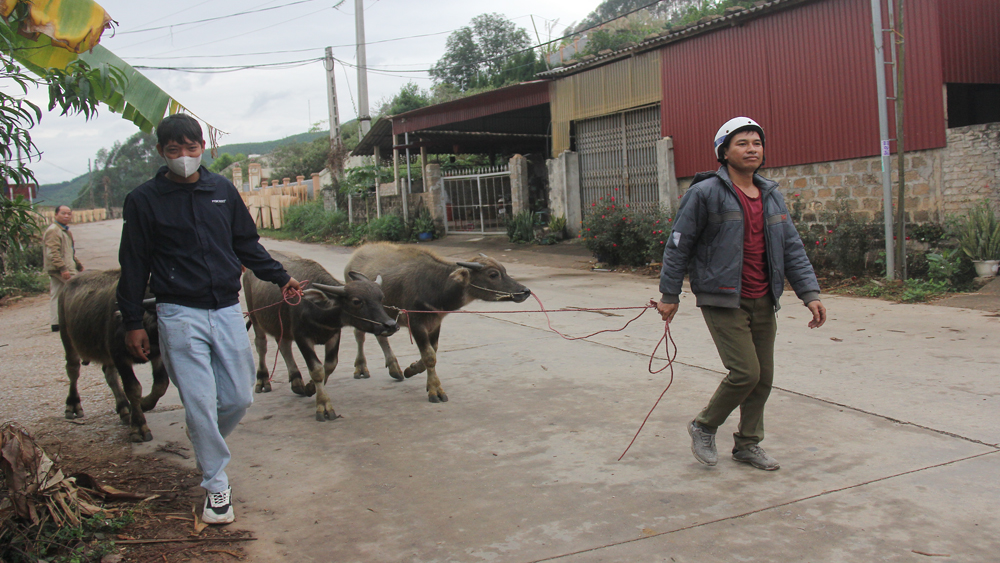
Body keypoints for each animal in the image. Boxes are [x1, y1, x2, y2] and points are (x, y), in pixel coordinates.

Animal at [58, 270, 167, 442]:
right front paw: (139, 426)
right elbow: (133, 388)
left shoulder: (158, 355)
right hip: (67, 338)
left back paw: (124, 407)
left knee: (109, 374)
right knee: (73, 370)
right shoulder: (119, 356)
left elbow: (160, 386)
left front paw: (143, 404)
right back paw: (73, 405)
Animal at [242, 250, 398, 418]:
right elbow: (317, 369)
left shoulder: (334, 334)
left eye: (381, 297)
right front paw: (323, 405)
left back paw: (296, 381)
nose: (391, 325)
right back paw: (263, 379)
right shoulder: (301, 337)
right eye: (356, 301)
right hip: (254, 317)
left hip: (281, 326)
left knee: (284, 345)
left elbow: (329, 365)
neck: (317, 309)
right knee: (261, 345)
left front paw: (311, 387)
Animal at [344, 245, 532, 404]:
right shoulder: (416, 323)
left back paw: (395, 369)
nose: (525, 291)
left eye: (504, 270)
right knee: (359, 336)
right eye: (493, 274)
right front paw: (435, 390)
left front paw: (411, 369)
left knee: (381, 336)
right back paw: (361, 368)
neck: (437, 286)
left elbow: (433, 351)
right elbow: (429, 356)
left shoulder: (435, 323)